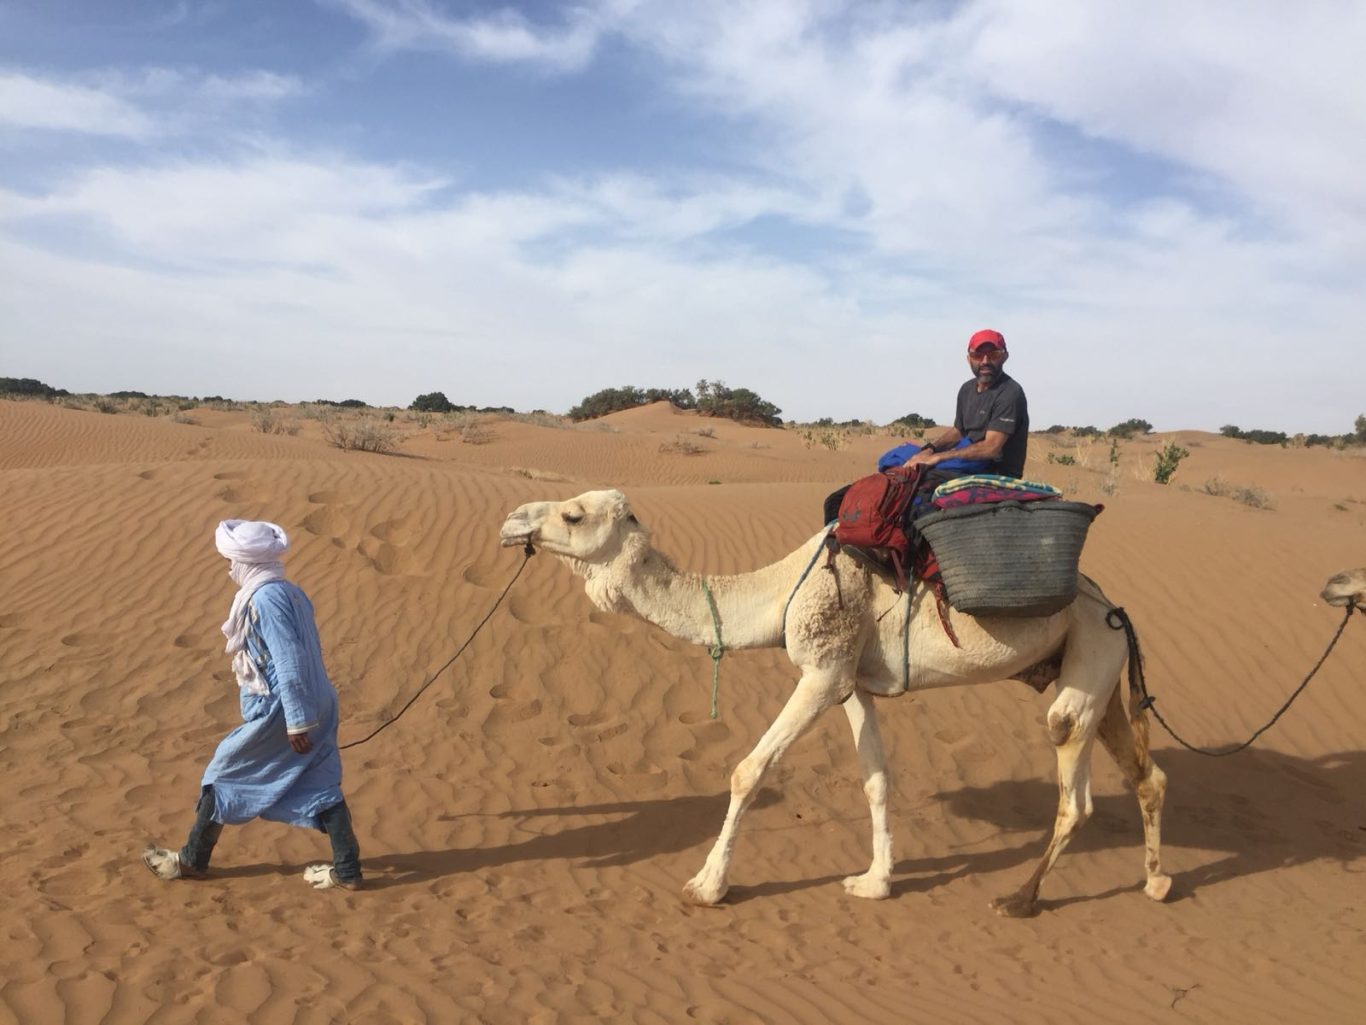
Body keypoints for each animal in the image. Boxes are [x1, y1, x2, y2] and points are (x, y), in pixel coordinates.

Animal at [499, 489, 1171, 916]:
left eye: (573, 514)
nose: (511, 523)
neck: (778, 593)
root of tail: (1115, 607)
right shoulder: (850, 680)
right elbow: (875, 778)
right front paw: (875, 882)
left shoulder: (820, 672)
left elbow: (749, 770)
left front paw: (707, 885)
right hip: (1096, 664)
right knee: (1146, 774)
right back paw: (1157, 881)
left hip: (1088, 651)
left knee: (1073, 781)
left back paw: (1021, 899)